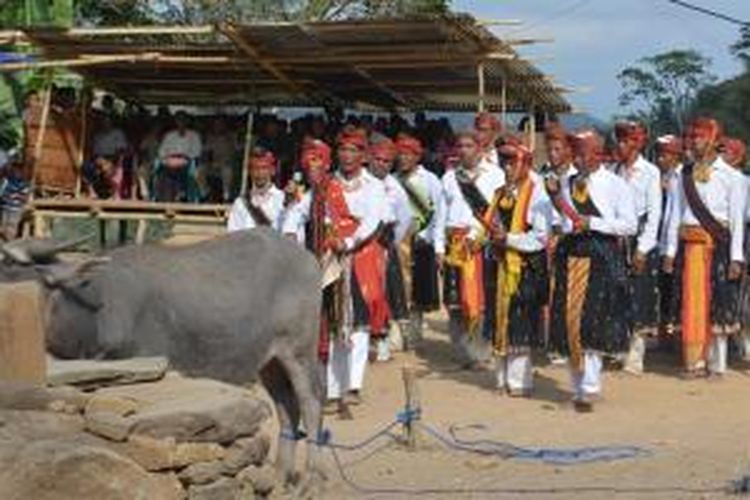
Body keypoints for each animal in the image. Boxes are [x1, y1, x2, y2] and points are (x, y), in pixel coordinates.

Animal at [4, 230, 324, 488]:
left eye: (25, 279)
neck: (93, 311)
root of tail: (308, 259)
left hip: (299, 350)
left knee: (311, 401)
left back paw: (310, 481)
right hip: (270, 362)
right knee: (287, 406)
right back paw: (280, 479)